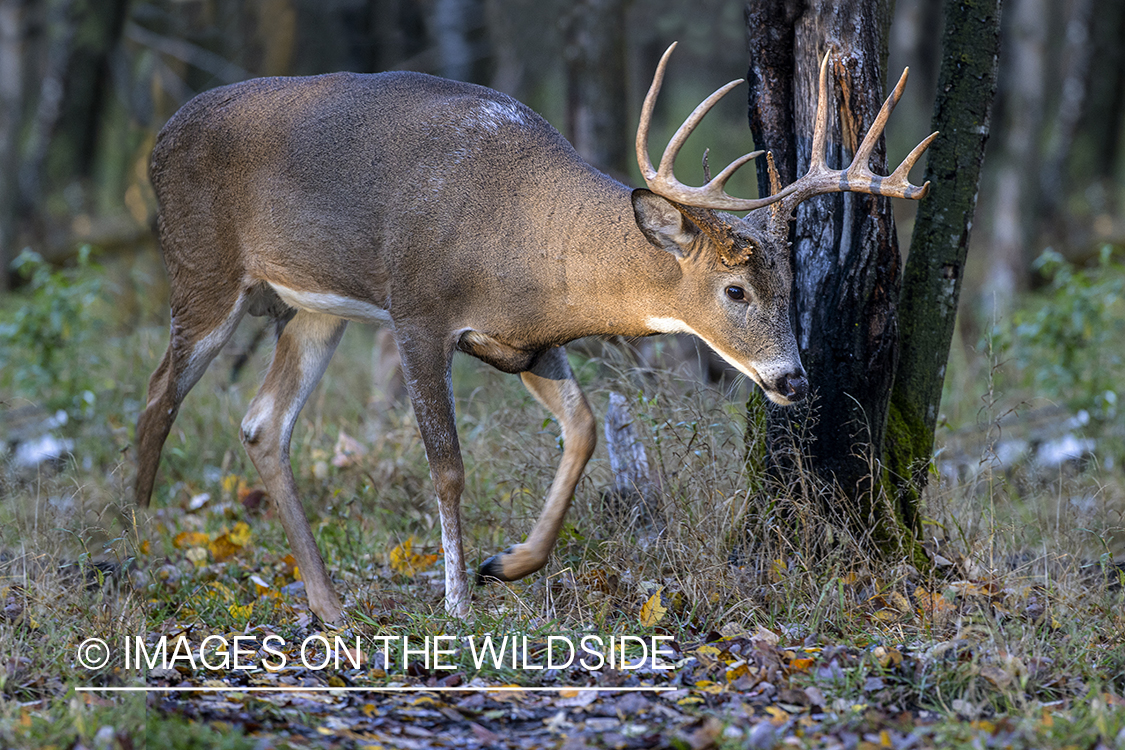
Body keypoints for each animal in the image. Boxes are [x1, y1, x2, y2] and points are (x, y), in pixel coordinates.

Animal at [131, 44, 936, 625]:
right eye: (733, 290)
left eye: (793, 289)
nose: (792, 379)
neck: (520, 245)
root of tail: (159, 139)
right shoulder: (416, 312)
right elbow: (448, 466)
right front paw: (458, 602)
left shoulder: (524, 344)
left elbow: (583, 429)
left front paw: (507, 564)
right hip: (202, 269)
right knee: (157, 395)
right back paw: (136, 547)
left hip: (314, 310)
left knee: (261, 422)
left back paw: (330, 608)